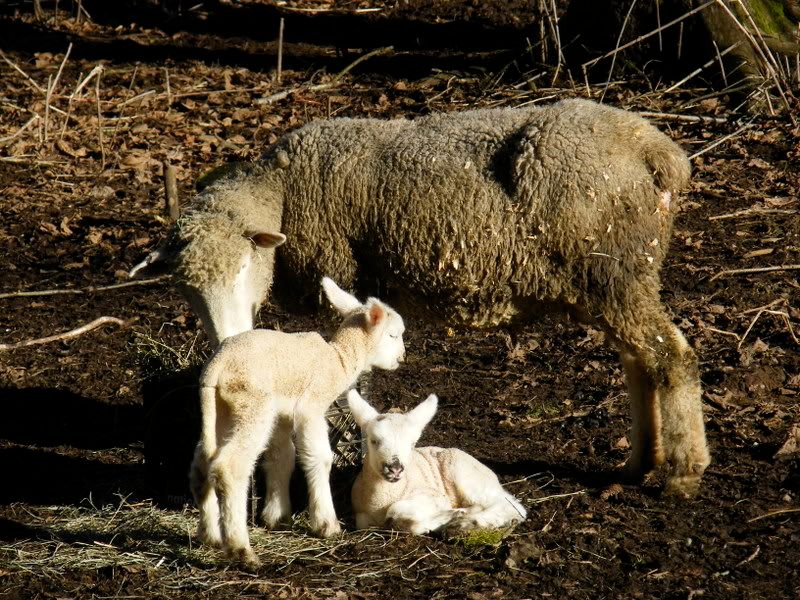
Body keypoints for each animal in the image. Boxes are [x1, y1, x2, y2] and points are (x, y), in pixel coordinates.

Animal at [132, 98, 710, 497]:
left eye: (246, 266)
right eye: (186, 288)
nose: (229, 340)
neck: (286, 192)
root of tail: (658, 153)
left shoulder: (341, 276)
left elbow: (351, 375)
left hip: (617, 270)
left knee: (672, 357)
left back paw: (684, 473)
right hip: (619, 278)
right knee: (641, 361)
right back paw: (641, 462)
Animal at [189, 277, 406, 567]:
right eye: (392, 335)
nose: (401, 358)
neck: (339, 359)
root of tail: (215, 368)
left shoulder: (282, 415)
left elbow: (282, 457)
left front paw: (276, 516)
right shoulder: (311, 407)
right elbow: (320, 458)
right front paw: (327, 525)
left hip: (221, 409)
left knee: (202, 465)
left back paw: (210, 536)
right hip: (252, 405)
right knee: (229, 467)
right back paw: (241, 550)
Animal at [348, 389, 527, 535]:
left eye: (412, 443)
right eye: (373, 441)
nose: (395, 469)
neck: (383, 499)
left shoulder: (434, 496)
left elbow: (395, 511)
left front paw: (450, 515)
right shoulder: (361, 517)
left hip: (465, 474)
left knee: (511, 507)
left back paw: (466, 522)